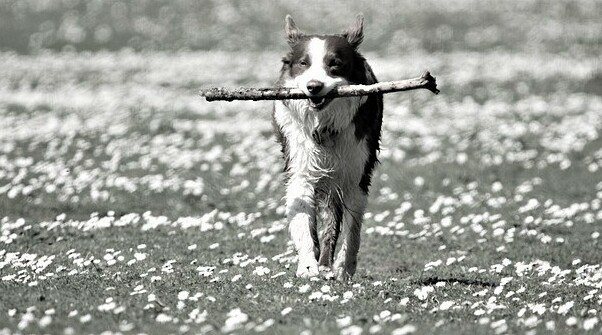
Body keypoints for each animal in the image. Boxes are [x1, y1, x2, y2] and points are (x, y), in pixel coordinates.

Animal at [270, 13, 380, 280]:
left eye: (335, 64)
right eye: (303, 63)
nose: (314, 87)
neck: (324, 126)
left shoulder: (355, 174)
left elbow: (352, 230)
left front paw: (344, 267)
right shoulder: (301, 168)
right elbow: (302, 219)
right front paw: (308, 265)